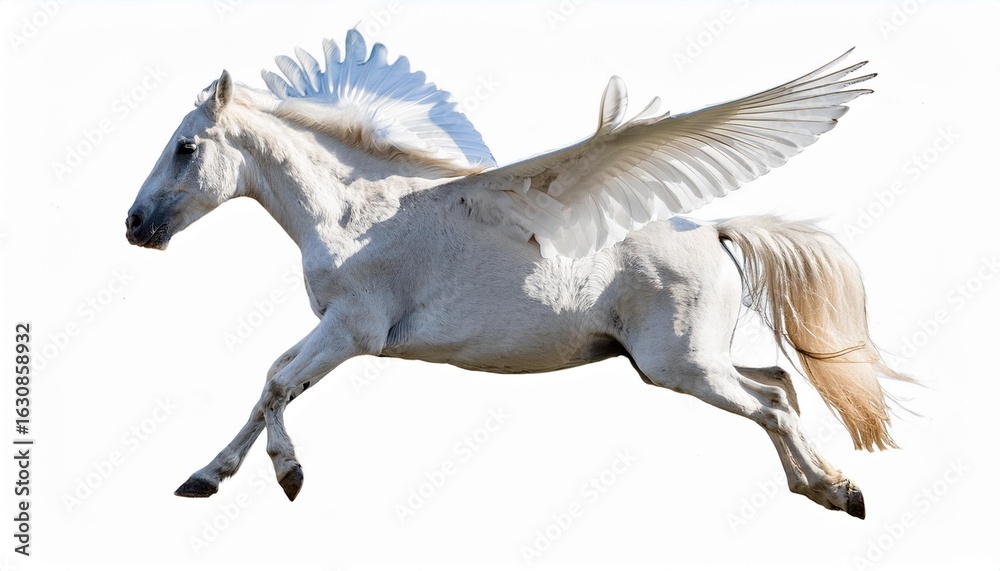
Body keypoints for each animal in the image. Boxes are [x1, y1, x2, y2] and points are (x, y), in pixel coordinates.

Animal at [125, 31, 906, 519]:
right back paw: (826, 487)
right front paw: (207, 477)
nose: (135, 226)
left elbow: (279, 386)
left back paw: (839, 493)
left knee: (771, 402)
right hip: (685, 362)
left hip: (679, 364)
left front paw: (280, 475)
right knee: (779, 386)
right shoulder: (330, 330)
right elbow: (268, 382)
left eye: (185, 147)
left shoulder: (351, 331)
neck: (353, 217)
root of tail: (710, 229)